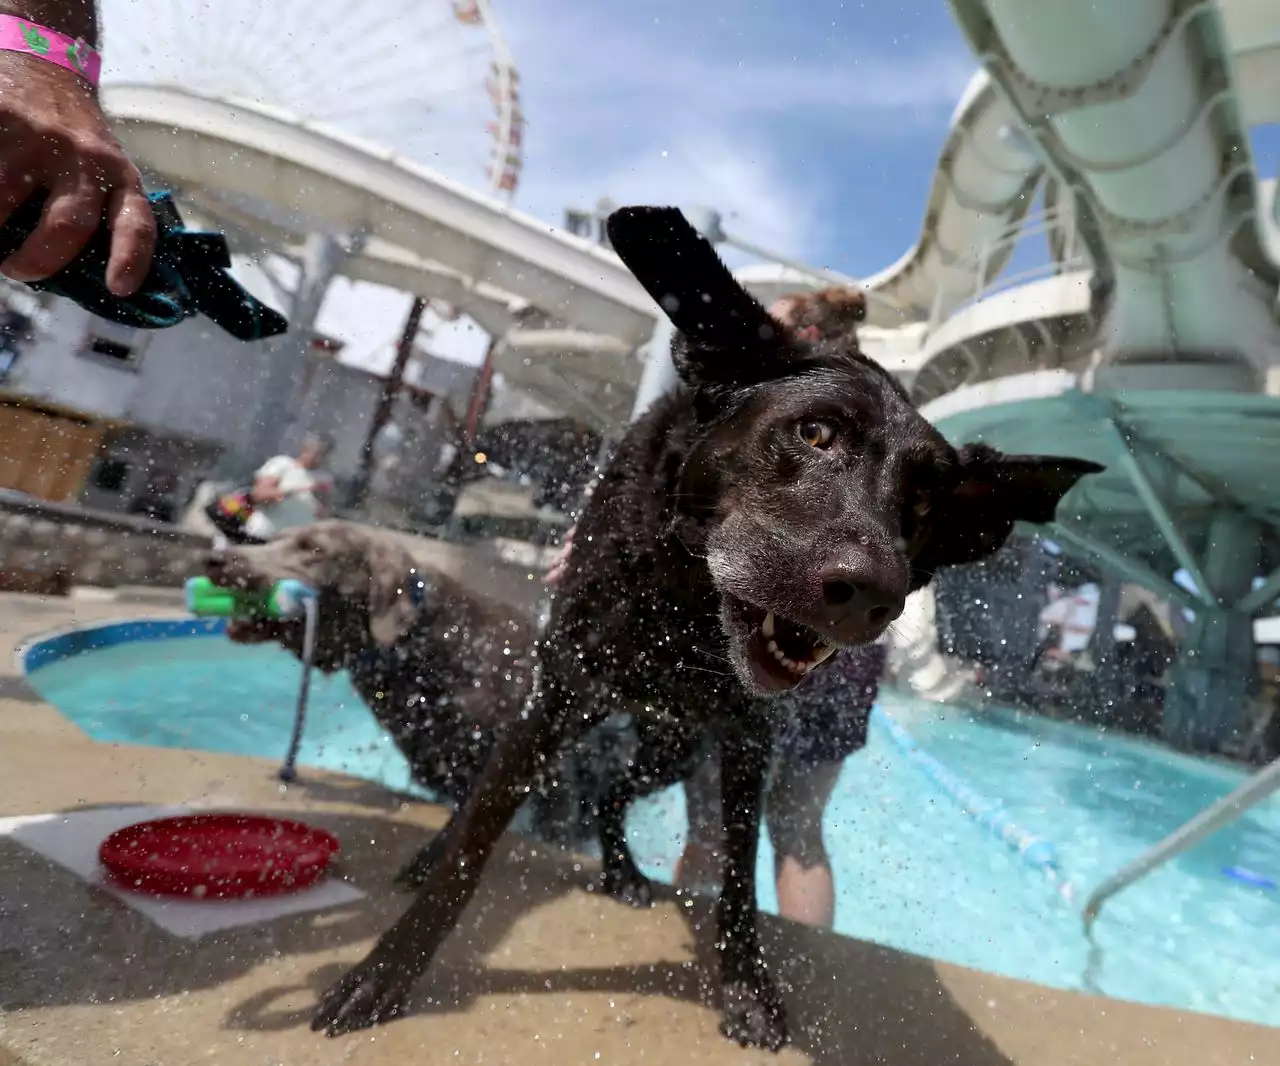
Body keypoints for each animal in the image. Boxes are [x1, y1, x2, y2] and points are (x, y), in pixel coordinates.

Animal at [309, 206, 1100, 1049]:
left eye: (922, 505)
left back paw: (622, 872)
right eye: (815, 434)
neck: (686, 612)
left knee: (609, 795)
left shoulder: (747, 741)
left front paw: (746, 990)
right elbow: (476, 838)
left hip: (671, 750)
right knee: (517, 793)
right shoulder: (560, 693)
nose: (871, 597)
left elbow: (737, 878)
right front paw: (384, 974)